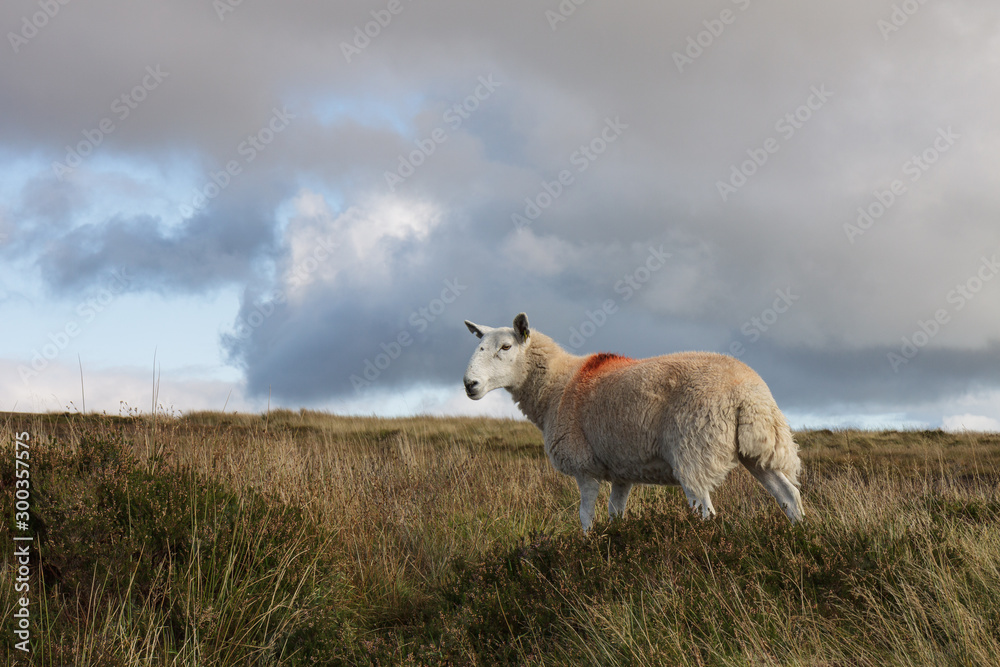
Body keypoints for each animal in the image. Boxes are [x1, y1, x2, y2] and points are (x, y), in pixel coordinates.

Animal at [462, 313, 804, 531]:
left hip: (694, 452)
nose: (469, 384)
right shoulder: (621, 472)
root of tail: (749, 393)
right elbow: (616, 514)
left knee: (707, 512)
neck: (556, 386)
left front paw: (586, 546)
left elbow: (585, 516)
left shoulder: (584, 467)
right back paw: (800, 535)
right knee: (789, 496)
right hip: (757, 449)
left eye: (506, 347)